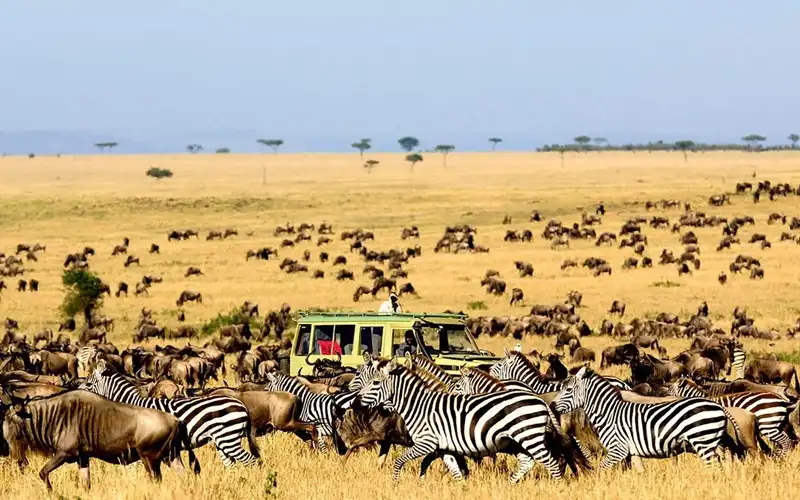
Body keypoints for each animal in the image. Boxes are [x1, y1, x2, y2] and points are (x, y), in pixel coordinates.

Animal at [79, 362, 258, 466]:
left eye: (88, 384)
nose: (76, 393)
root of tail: (241, 405)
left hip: (229, 438)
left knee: (252, 461)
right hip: (222, 440)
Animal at [358, 362, 576, 482]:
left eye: (375, 382)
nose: (357, 400)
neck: (418, 405)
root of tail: (539, 399)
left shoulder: (427, 442)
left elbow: (399, 461)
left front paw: (395, 484)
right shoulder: (443, 447)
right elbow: (455, 471)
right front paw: (461, 488)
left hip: (528, 435)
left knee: (551, 462)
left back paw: (557, 487)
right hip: (518, 439)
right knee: (527, 462)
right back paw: (510, 484)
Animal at [552, 368, 728, 468]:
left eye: (568, 389)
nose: (552, 405)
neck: (609, 413)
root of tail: (719, 407)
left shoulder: (618, 449)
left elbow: (601, 469)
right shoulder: (631, 451)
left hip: (702, 442)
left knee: (714, 467)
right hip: (710, 443)